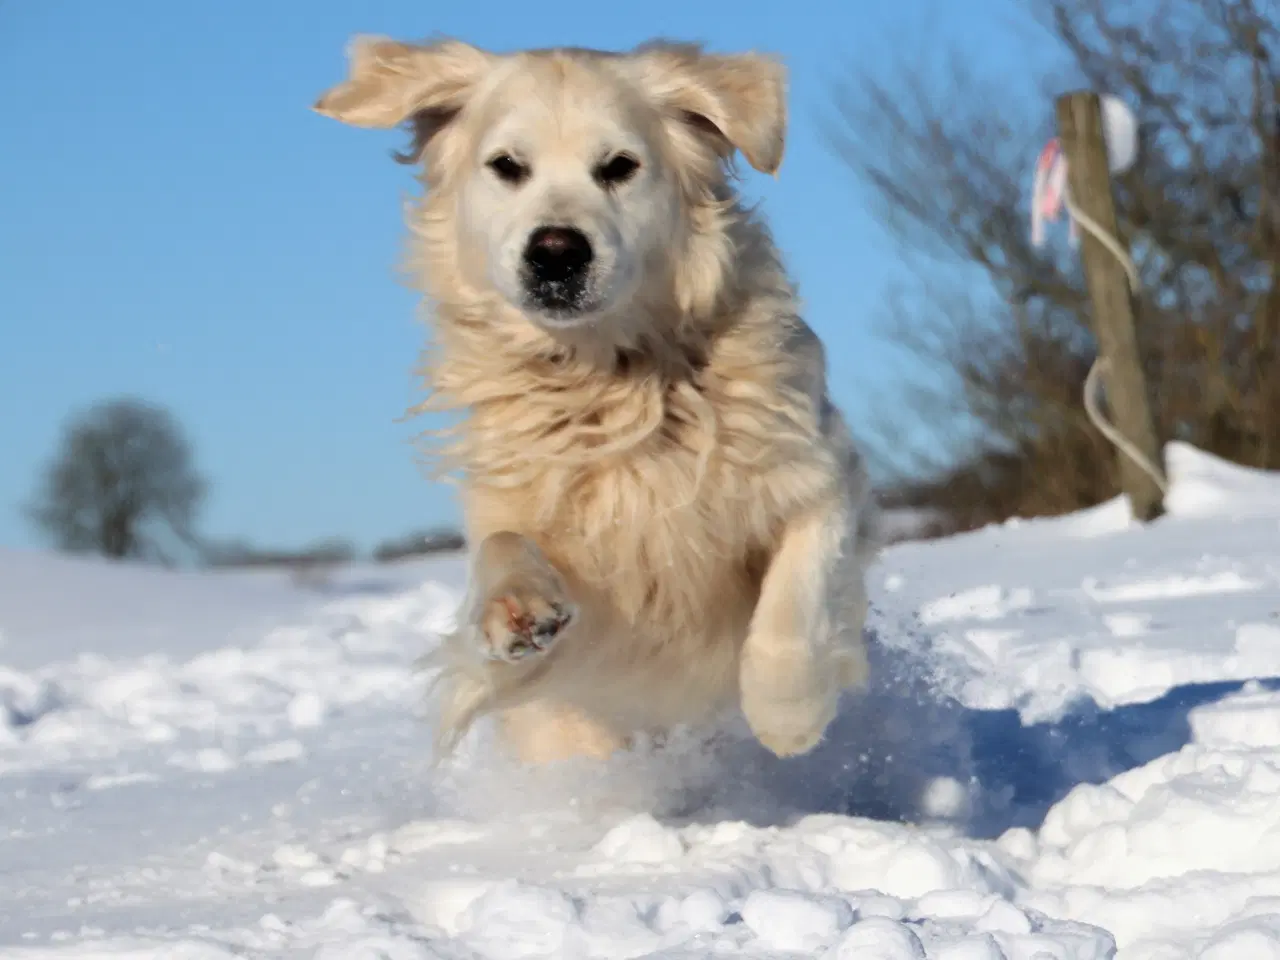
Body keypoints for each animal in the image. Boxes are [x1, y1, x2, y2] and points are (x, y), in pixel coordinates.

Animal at [313, 35, 875, 768]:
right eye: (507, 166)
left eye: (620, 167)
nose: (556, 252)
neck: (606, 378)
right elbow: (504, 546)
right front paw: (516, 608)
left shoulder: (818, 471)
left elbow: (797, 593)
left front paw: (788, 709)